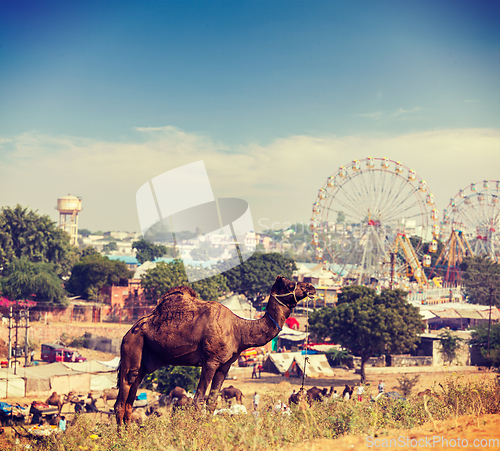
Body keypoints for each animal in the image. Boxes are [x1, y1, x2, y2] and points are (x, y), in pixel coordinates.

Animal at [115, 276, 314, 428]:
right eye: (290, 284)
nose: (311, 288)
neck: (239, 330)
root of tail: (126, 334)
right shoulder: (210, 361)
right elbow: (198, 400)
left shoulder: (225, 365)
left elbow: (212, 401)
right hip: (132, 348)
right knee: (122, 398)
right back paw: (122, 439)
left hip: (144, 362)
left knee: (130, 399)